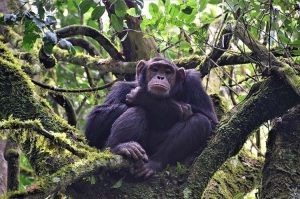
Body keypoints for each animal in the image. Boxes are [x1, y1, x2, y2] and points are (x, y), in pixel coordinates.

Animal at [85, 56, 218, 178]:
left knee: (200, 121)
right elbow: (93, 126)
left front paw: (145, 98)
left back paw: (153, 163)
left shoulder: (193, 82)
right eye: (154, 69)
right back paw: (120, 148)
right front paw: (175, 107)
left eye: (168, 72)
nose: (160, 77)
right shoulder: (121, 87)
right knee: (138, 111)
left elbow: (211, 121)